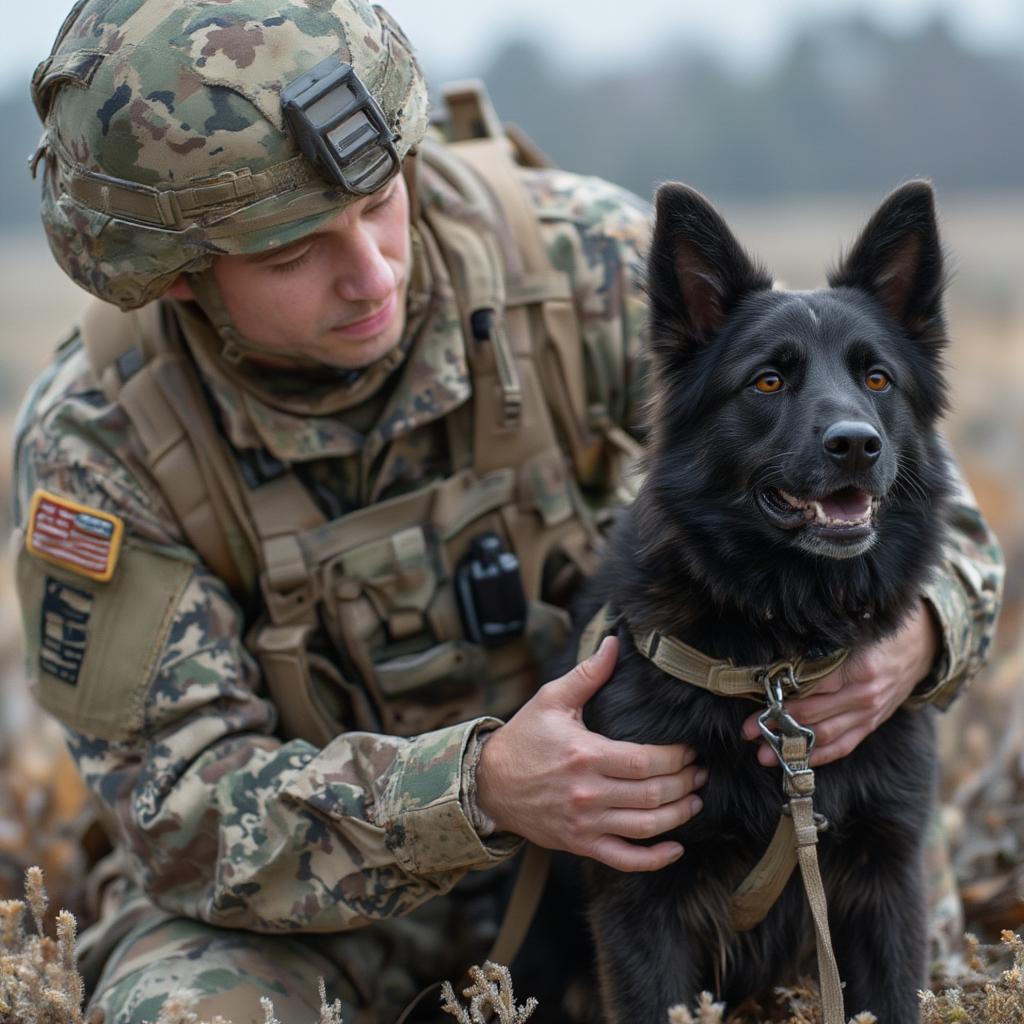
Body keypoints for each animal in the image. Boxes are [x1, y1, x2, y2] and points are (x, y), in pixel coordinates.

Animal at [577, 182, 950, 1024]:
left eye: (878, 380)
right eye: (768, 382)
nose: (856, 445)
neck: (778, 649)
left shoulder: (888, 881)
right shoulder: (642, 903)